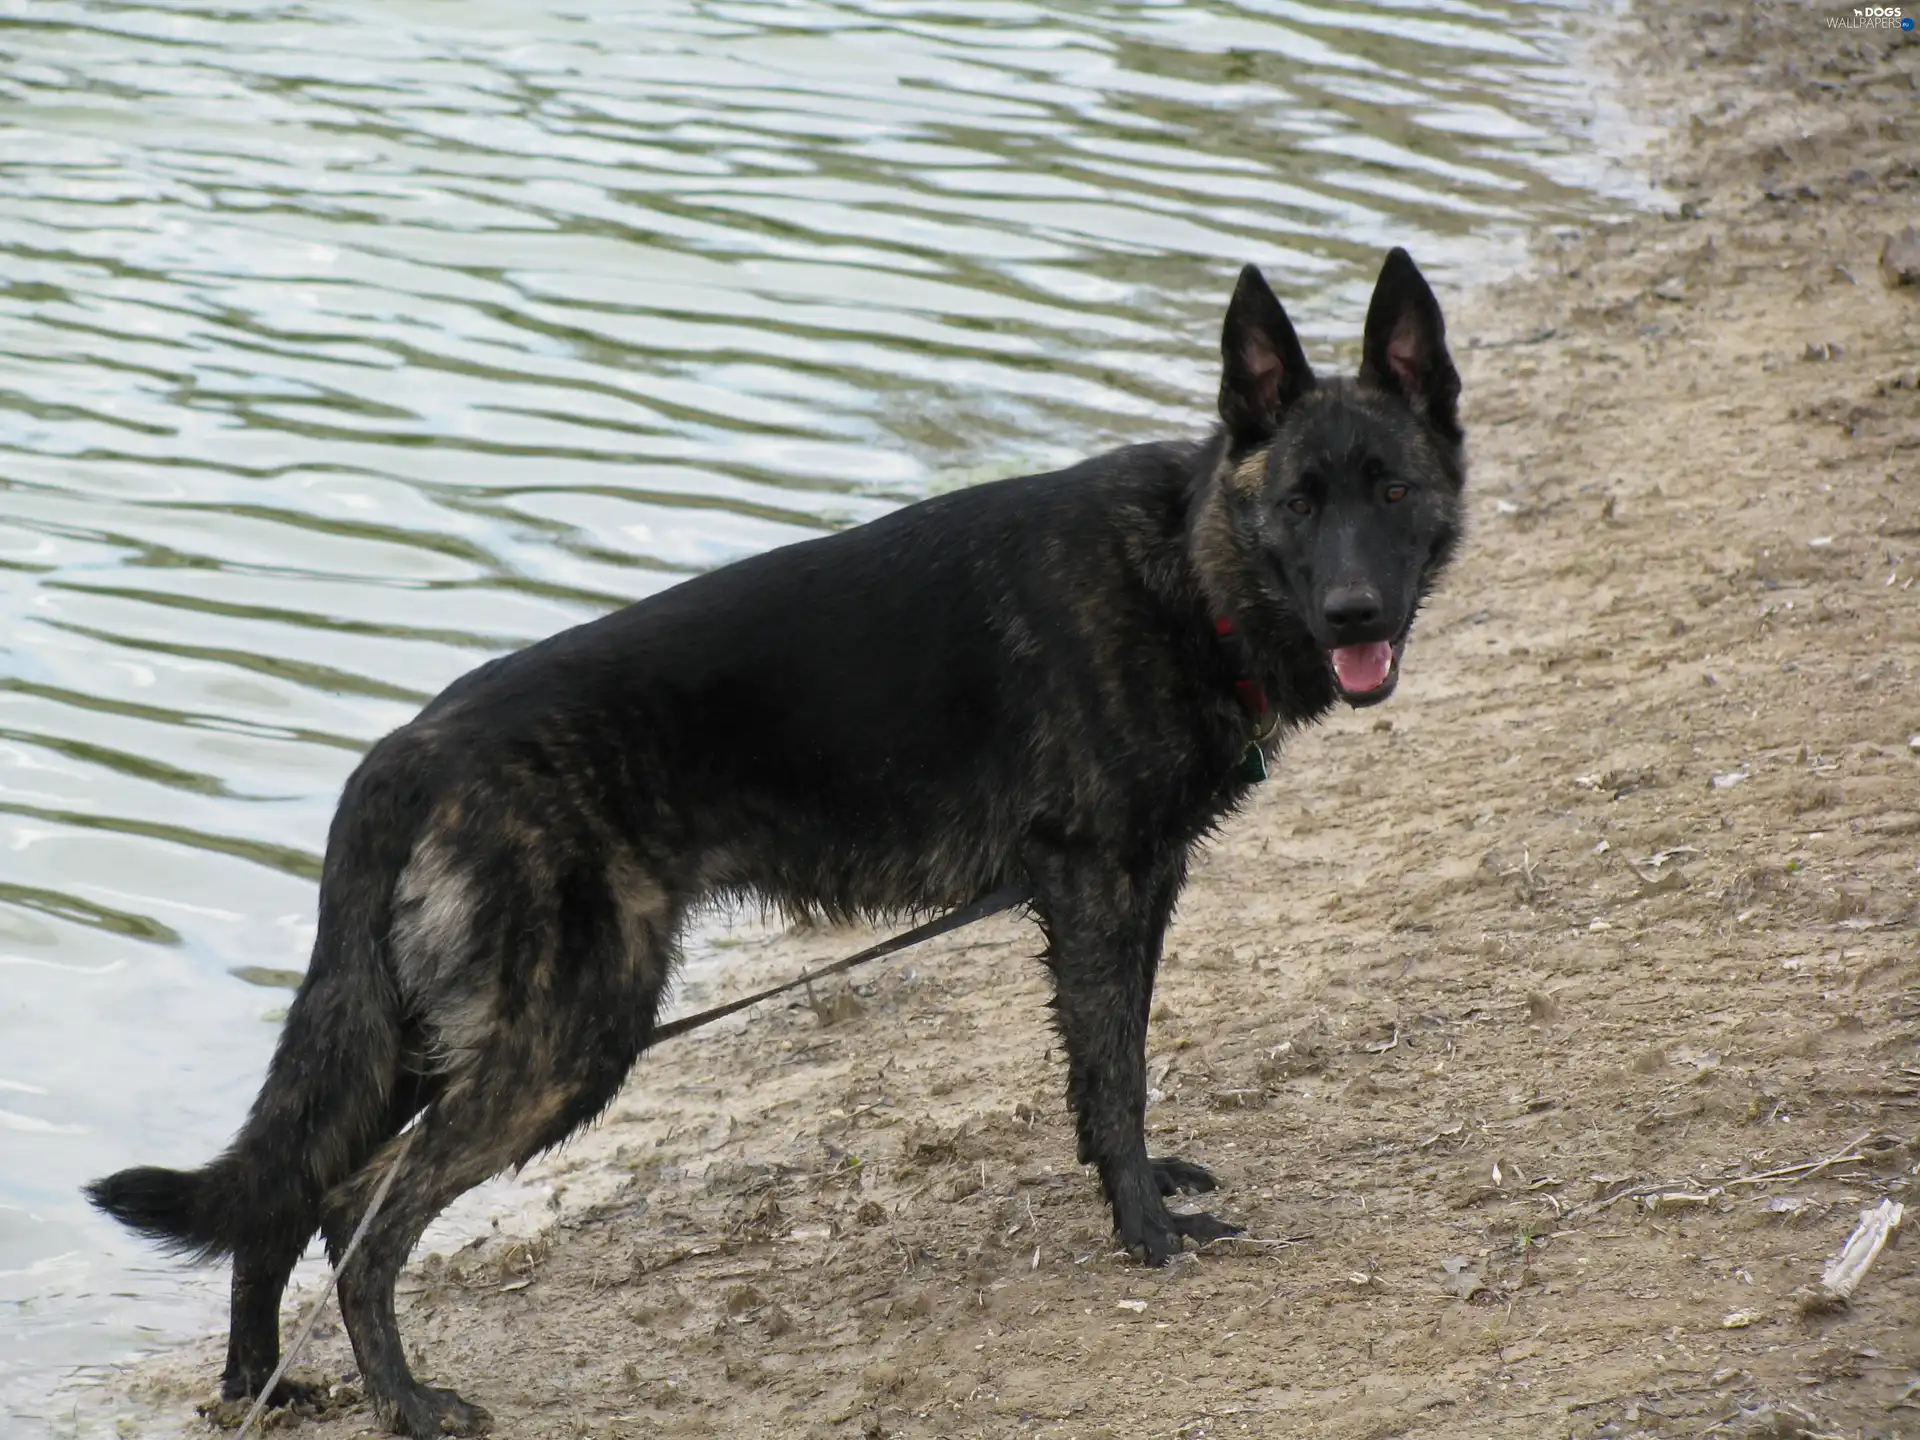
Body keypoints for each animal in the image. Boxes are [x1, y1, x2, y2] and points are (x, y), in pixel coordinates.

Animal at [90, 245, 1459, 1436]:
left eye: (1390, 492)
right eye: (1301, 504)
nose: (1357, 613)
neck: (1185, 565)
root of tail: (407, 748)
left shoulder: (1135, 890)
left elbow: (1102, 1068)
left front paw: (1139, 1193)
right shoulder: (1096, 888)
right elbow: (1115, 1073)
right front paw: (1145, 1235)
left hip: (435, 1033)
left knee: (295, 1193)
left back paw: (257, 1387)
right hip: (563, 1040)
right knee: (361, 1217)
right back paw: (406, 1406)